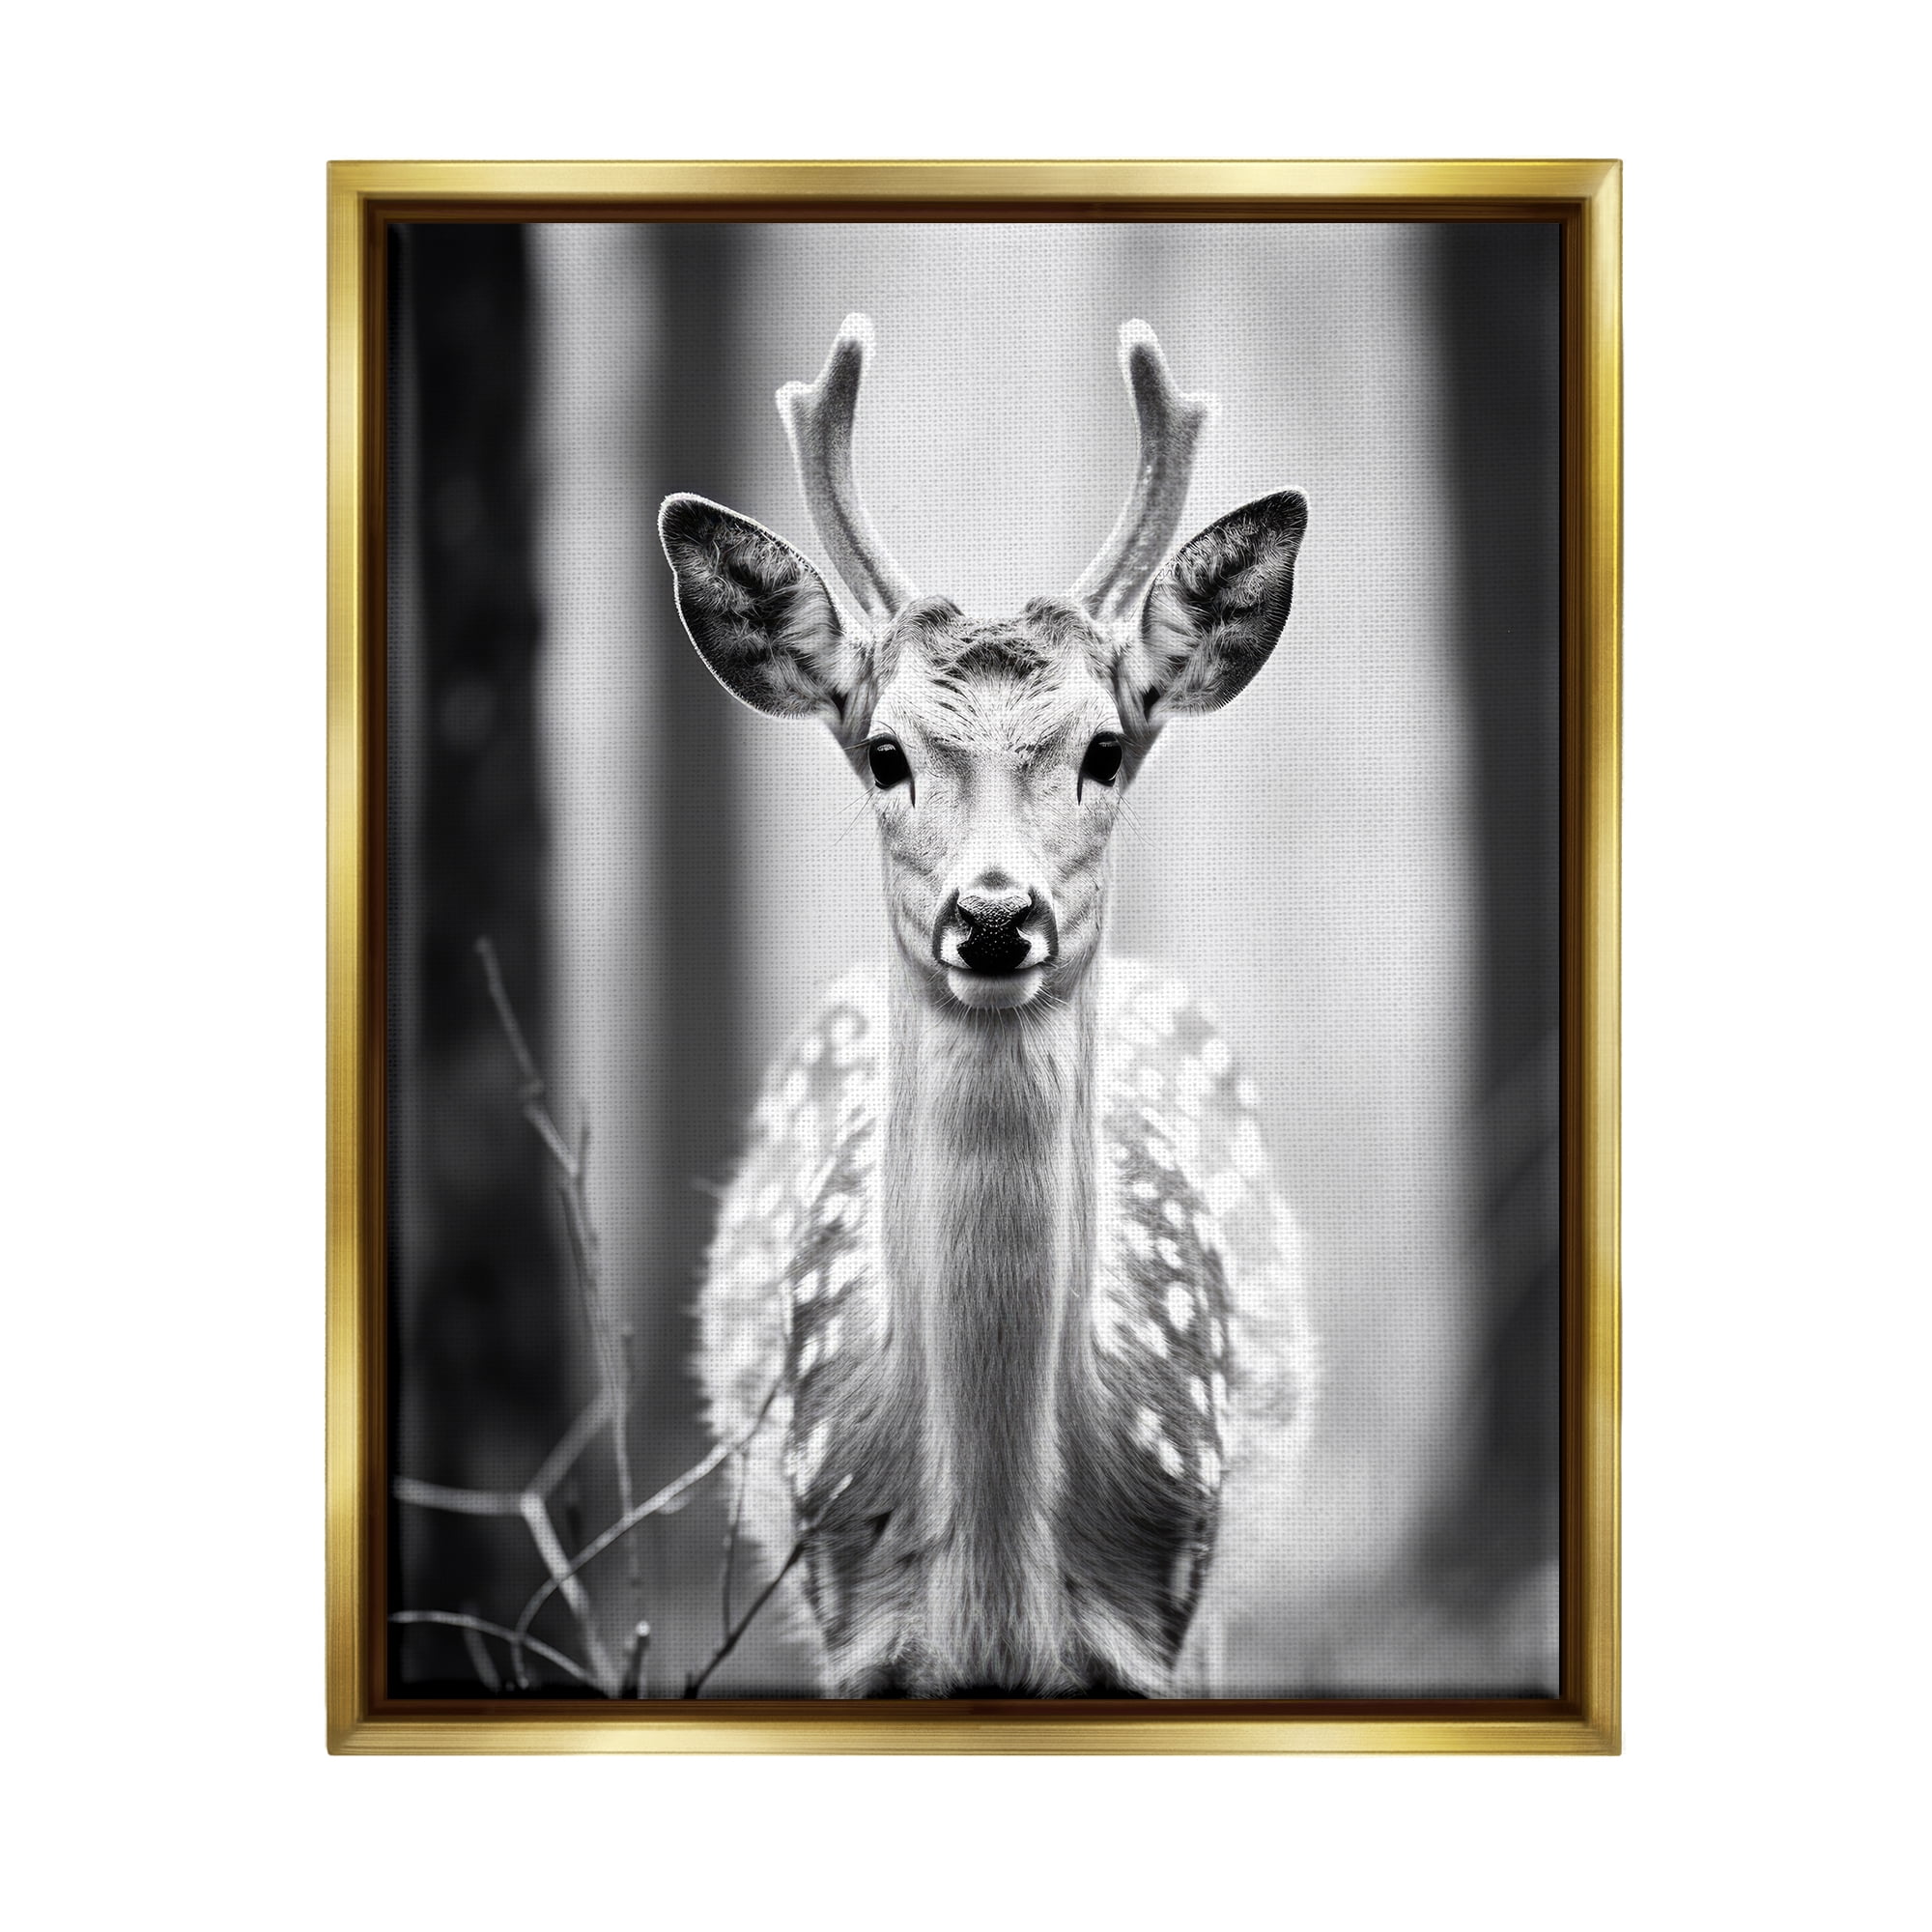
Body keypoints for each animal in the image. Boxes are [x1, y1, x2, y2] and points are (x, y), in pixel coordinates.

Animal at [659, 314, 1315, 1698]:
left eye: (1106, 746)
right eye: (883, 752)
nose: (996, 916)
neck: (998, 1579)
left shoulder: (1167, 1612)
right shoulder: (846, 1615)